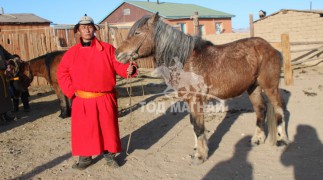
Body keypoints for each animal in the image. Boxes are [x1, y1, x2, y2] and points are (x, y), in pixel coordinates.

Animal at [115, 12, 290, 165]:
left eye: (137, 32)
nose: (117, 54)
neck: (186, 61)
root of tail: (271, 48)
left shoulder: (196, 99)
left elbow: (199, 127)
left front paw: (200, 156)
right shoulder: (189, 100)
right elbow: (194, 124)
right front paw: (198, 148)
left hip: (270, 86)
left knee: (279, 108)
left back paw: (282, 139)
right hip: (253, 87)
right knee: (261, 109)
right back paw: (257, 139)